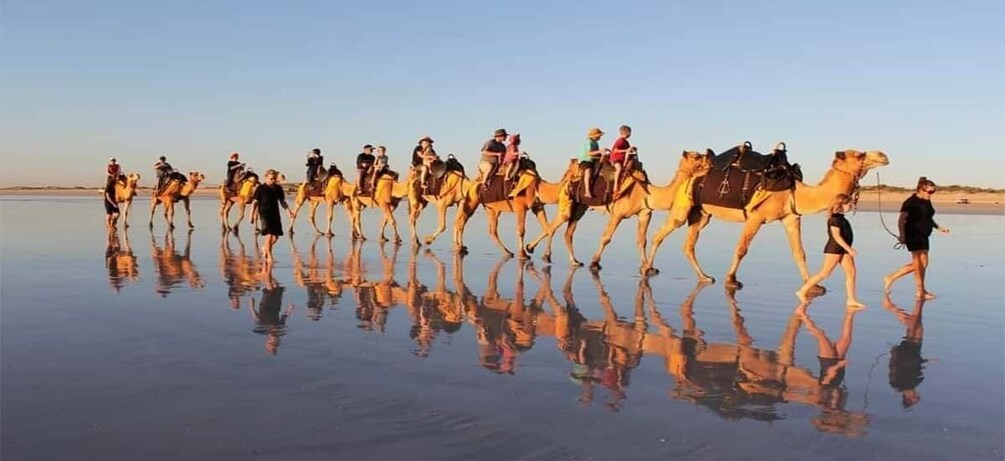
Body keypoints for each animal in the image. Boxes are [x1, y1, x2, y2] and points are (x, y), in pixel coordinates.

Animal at [522, 151, 711, 267]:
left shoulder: (645, 213)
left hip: (580, 205)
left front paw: (647, 267)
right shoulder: (618, 214)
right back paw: (535, 250)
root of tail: (569, 172)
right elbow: (606, 237)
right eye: (696, 155)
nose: (709, 157)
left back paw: (573, 260)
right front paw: (595, 262)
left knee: (568, 232)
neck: (646, 192)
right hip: (566, 197)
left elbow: (641, 240)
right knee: (555, 224)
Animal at [643, 149, 888, 287]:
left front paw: (811, 284)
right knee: (660, 235)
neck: (794, 191)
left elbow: (799, 252)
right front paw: (731, 280)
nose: (883, 155)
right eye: (859, 154)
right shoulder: (756, 216)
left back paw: (704, 277)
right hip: (682, 208)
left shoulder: (791, 217)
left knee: (688, 244)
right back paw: (647, 269)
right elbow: (741, 248)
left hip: (702, 214)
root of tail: (686, 178)